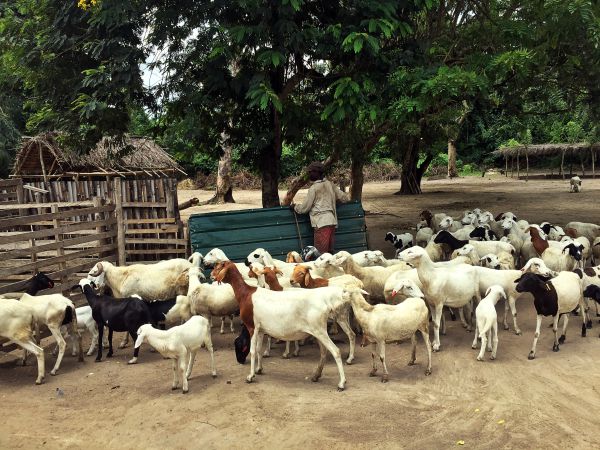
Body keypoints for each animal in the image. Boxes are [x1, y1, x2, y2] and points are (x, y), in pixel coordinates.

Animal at [213, 260, 350, 390]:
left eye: (219, 266)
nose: (212, 275)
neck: (246, 294)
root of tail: (325, 302)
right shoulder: (261, 330)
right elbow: (258, 349)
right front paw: (259, 369)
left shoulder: (252, 327)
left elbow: (252, 351)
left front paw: (250, 376)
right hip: (318, 331)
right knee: (324, 352)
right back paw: (316, 376)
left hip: (319, 330)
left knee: (335, 351)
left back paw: (342, 383)